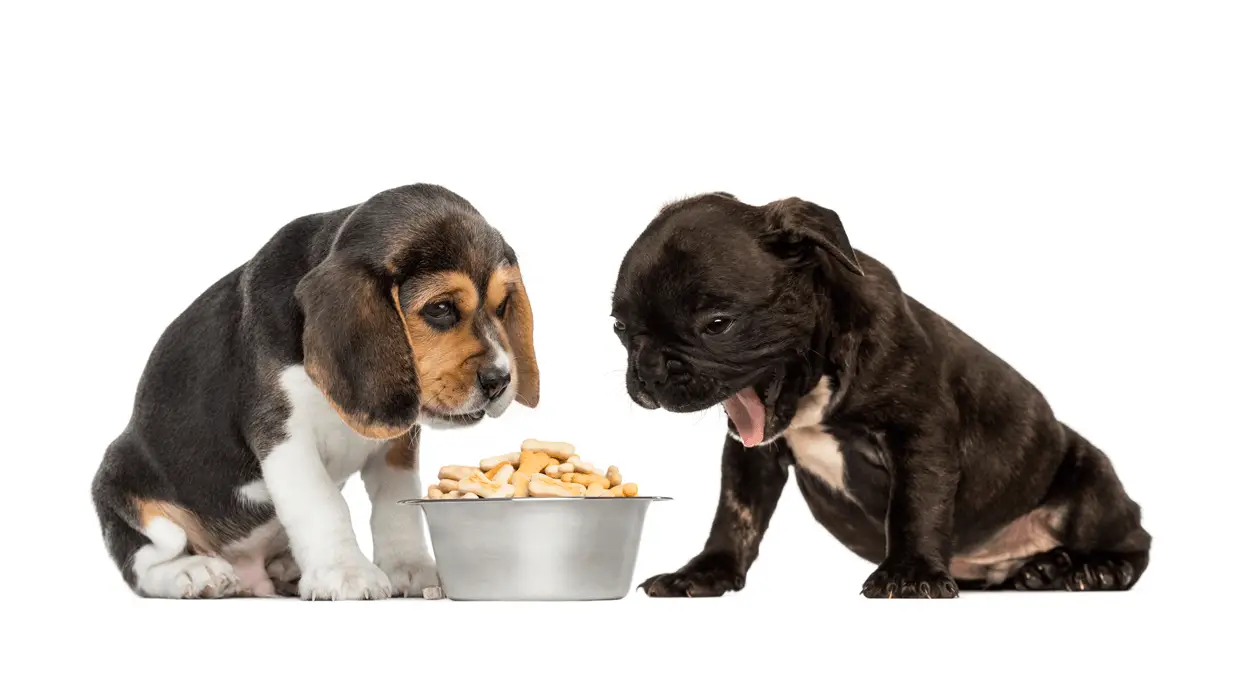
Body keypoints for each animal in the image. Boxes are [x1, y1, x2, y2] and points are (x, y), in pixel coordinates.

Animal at [87, 184, 533, 603]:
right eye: (440, 309)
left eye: (502, 306)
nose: (499, 380)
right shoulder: (284, 437)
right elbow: (323, 504)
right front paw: (346, 573)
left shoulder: (397, 444)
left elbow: (396, 506)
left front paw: (409, 568)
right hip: (124, 484)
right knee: (145, 562)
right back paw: (195, 574)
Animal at [610, 189, 1150, 595]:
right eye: (619, 328)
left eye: (717, 325)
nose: (650, 371)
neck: (815, 388)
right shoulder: (750, 458)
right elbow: (734, 516)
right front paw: (703, 573)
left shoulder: (919, 436)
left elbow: (915, 506)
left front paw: (909, 573)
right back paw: (1045, 569)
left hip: (1090, 487)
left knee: (1134, 534)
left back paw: (1097, 569)